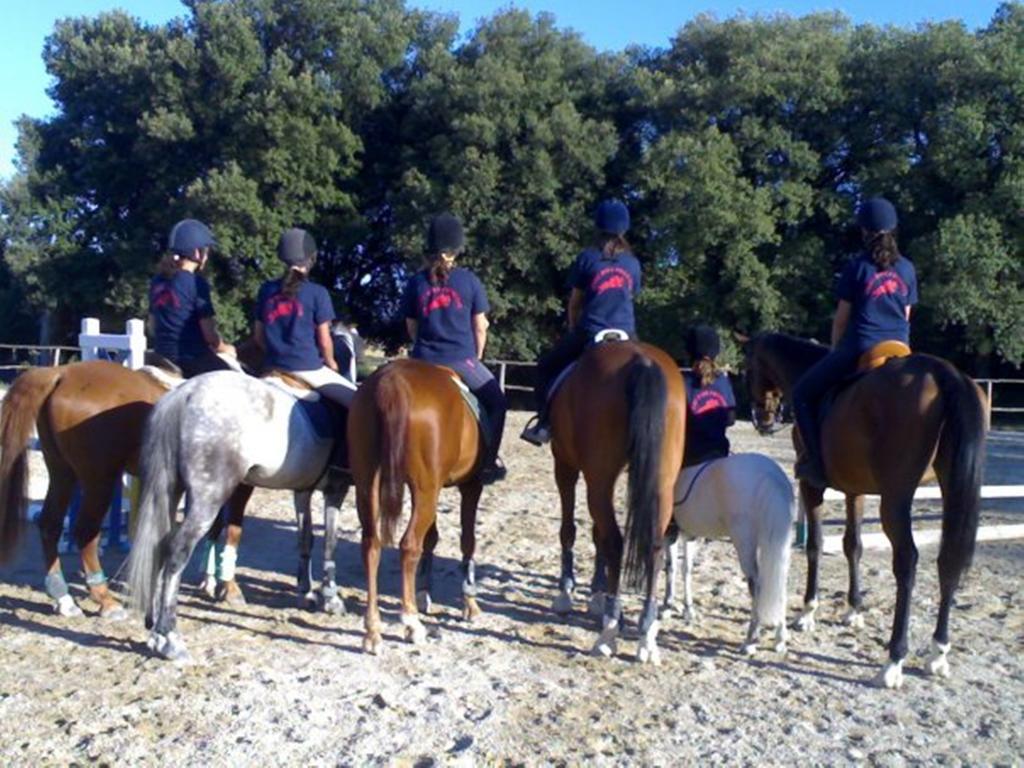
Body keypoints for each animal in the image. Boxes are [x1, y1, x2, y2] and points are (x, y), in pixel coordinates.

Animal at [124, 370, 352, 663]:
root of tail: (184, 394)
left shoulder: (302, 490)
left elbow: (306, 539)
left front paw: (306, 591)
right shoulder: (336, 490)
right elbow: (330, 542)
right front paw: (331, 598)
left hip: (171, 489)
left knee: (159, 546)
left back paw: (153, 626)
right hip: (209, 495)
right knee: (177, 550)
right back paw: (169, 637)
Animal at [346, 360, 485, 655]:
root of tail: (392, 382)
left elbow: (432, 538)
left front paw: (424, 594)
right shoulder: (471, 485)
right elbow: (467, 540)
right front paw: (469, 603)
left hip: (367, 482)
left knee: (371, 544)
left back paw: (373, 631)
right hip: (424, 490)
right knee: (409, 545)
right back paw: (411, 623)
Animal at [548, 339, 684, 663]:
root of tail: (642, 361)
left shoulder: (565, 466)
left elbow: (569, 530)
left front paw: (566, 592)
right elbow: (595, 533)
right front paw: (596, 593)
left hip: (598, 477)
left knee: (614, 542)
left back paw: (608, 631)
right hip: (662, 482)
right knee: (655, 545)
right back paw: (646, 635)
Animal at [659, 454, 794, 659]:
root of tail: (772, 474)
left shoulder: (670, 532)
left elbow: (671, 567)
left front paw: (667, 606)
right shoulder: (689, 535)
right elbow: (686, 570)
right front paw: (688, 609)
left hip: (744, 542)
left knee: (757, 585)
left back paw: (750, 641)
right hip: (779, 543)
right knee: (780, 583)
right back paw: (780, 639)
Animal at [741, 333, 987, 688]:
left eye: (747, 368)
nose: (762, 418)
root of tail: (942, 372)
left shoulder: (811, 486)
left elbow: (815, 545)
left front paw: (808, 612)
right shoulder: (854, 490)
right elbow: (852, 546)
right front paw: (854, 610)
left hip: (896, 498)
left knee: (907, 562)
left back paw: (894, 659)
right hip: (950, 487)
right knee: (948, 562)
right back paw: (938, 652)